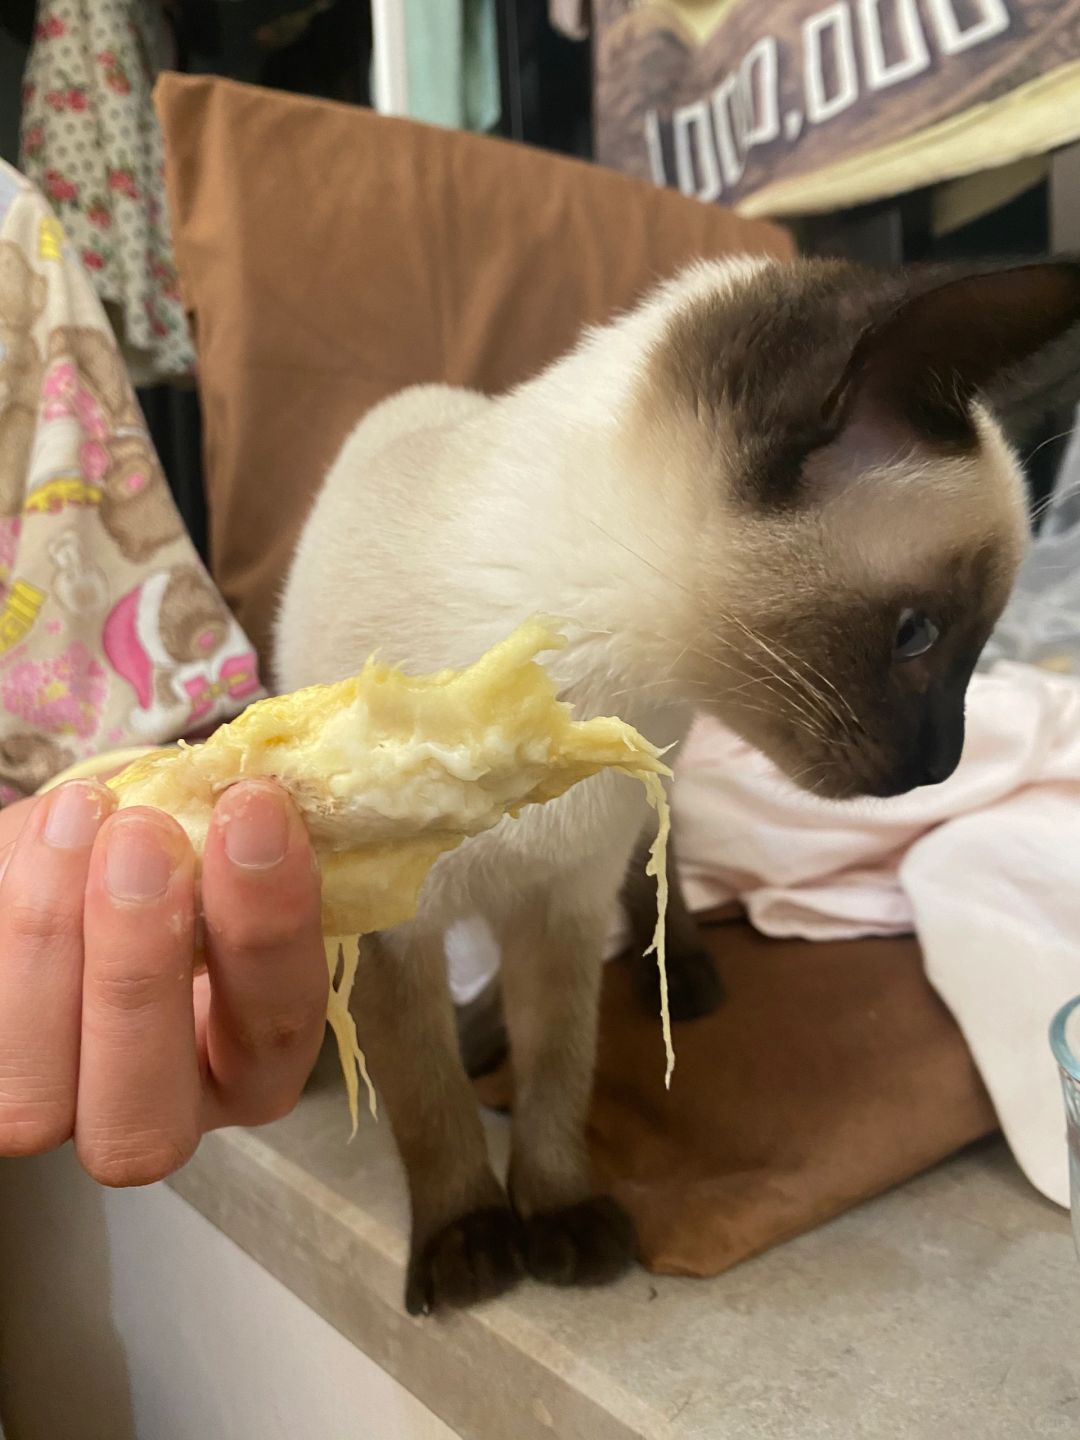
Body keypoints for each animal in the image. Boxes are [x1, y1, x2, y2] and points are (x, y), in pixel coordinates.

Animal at [275, 255, 1080, 1314]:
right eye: (917, 636)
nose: (940, 765)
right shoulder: (392, 928)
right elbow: (428, 1097)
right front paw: (469, 1241)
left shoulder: (564, 903)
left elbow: (560, 1068)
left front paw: (558, 1216)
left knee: (659, 886)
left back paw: (684, 978)